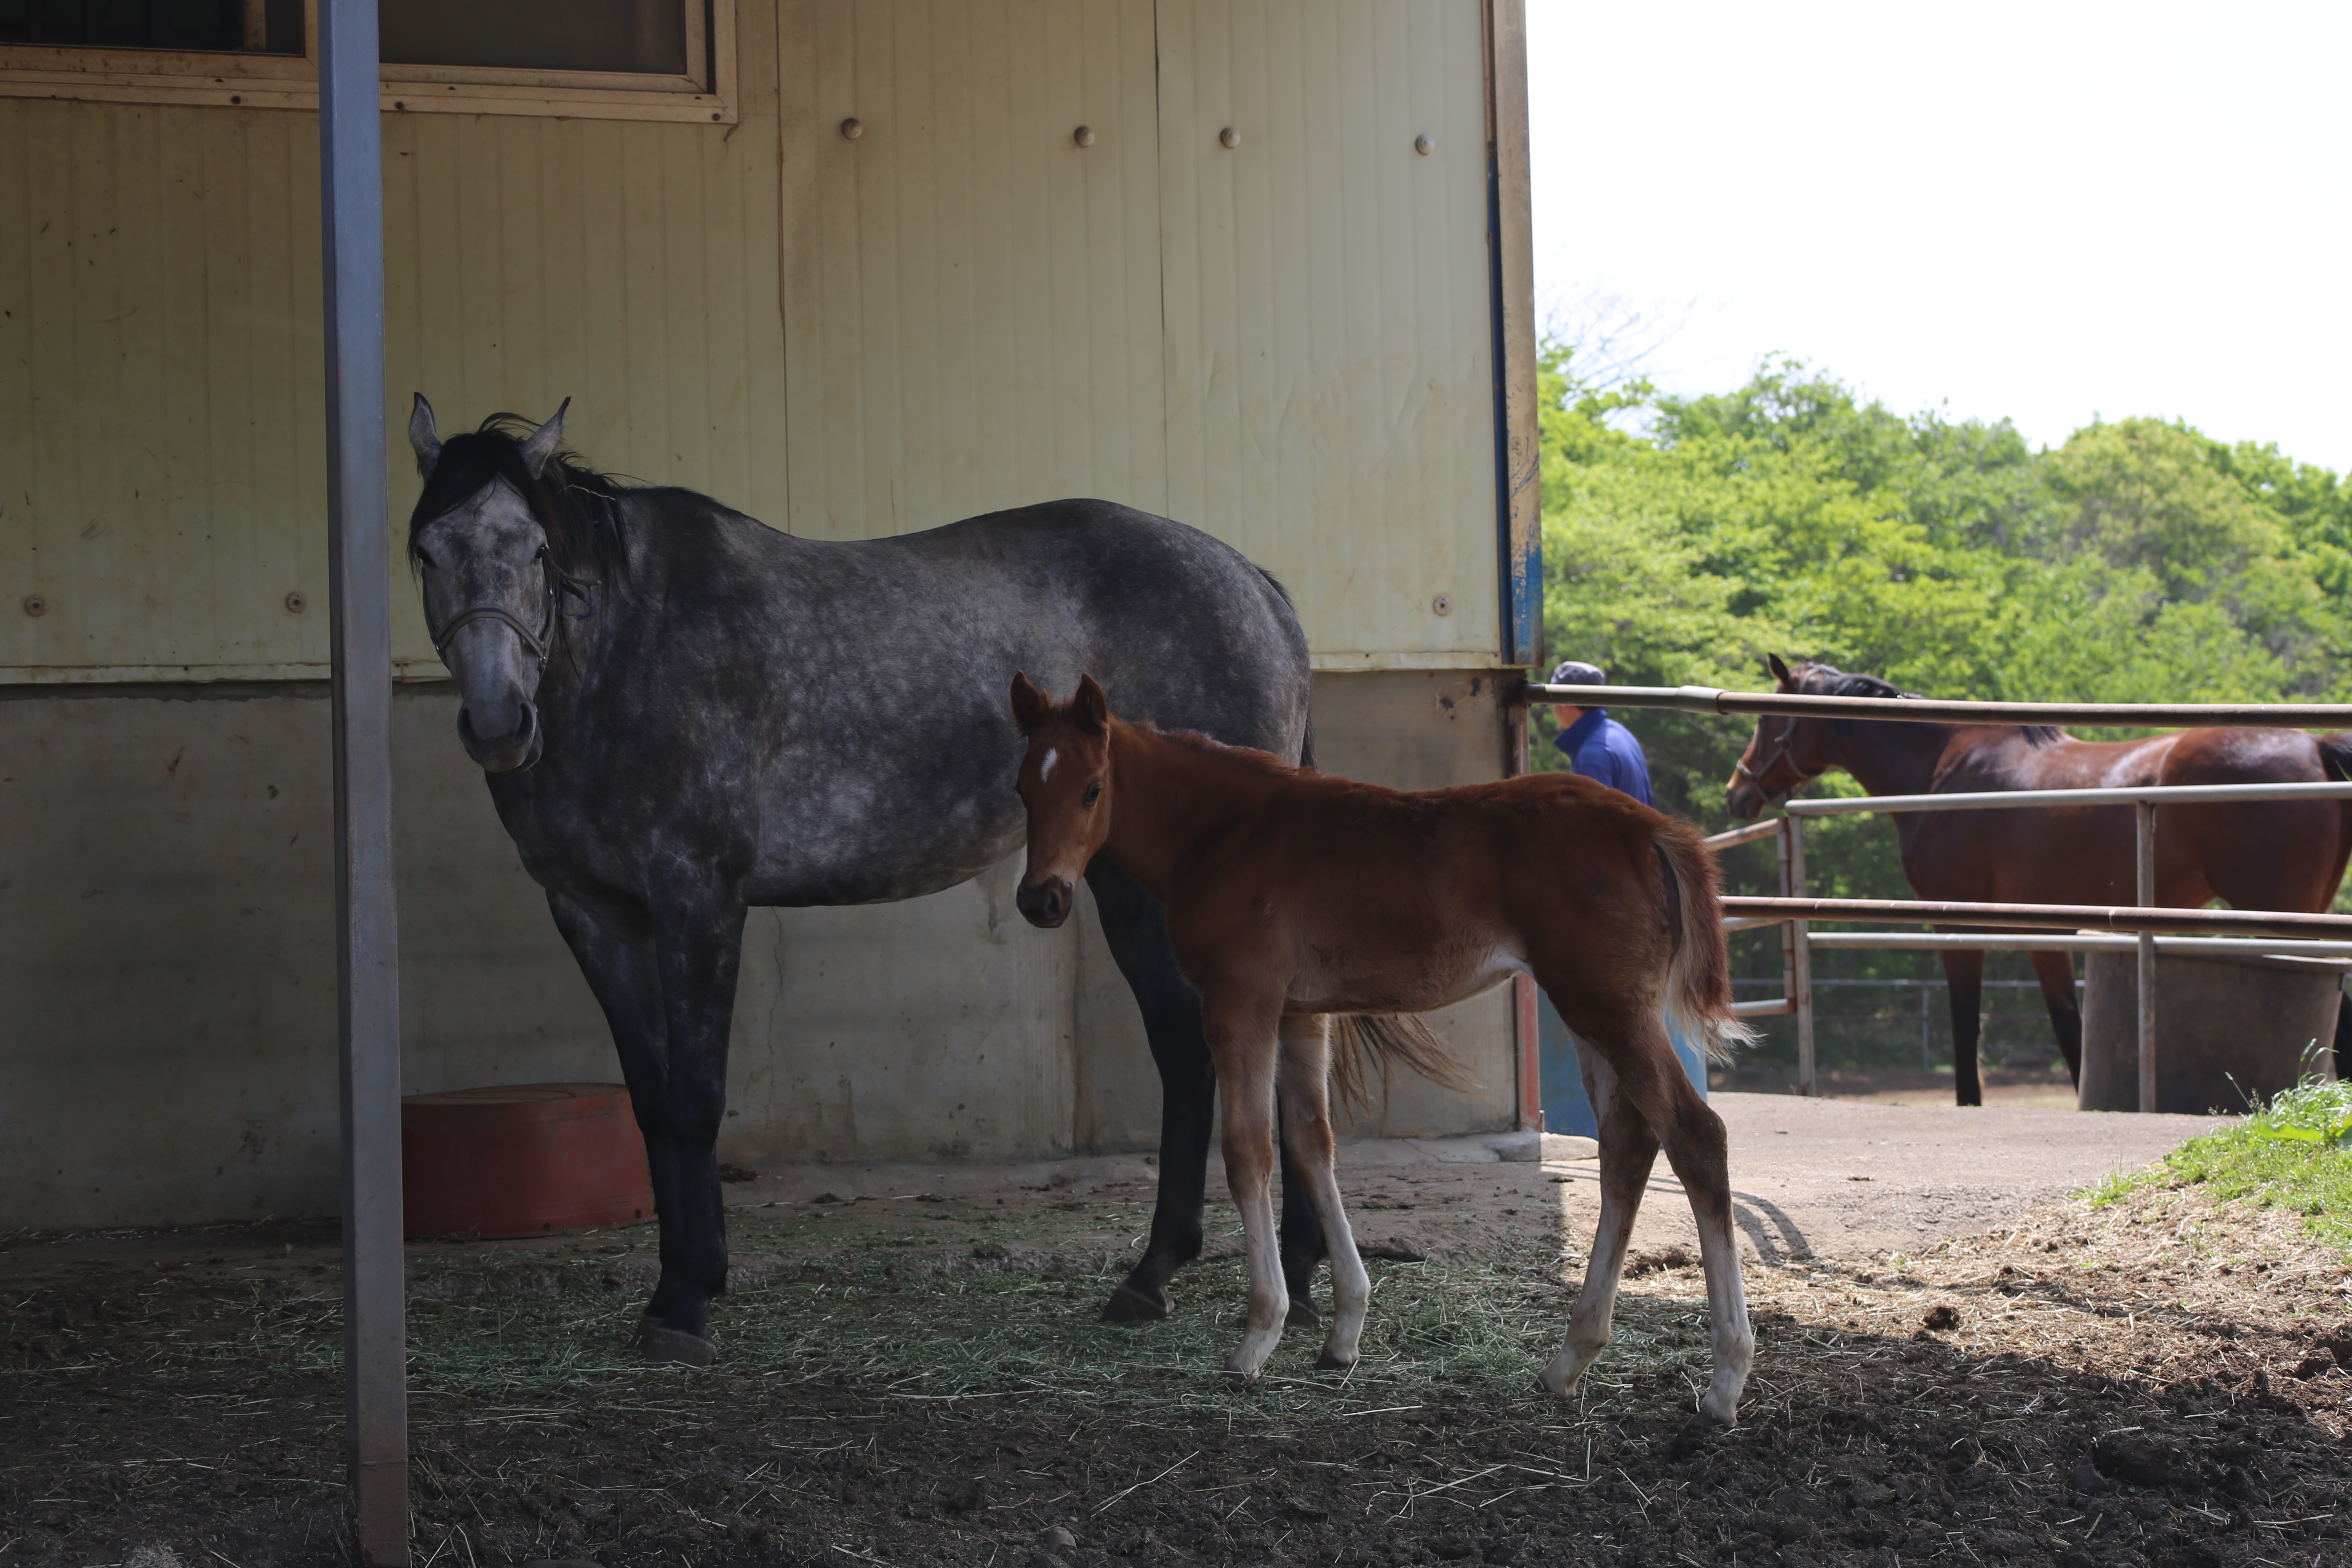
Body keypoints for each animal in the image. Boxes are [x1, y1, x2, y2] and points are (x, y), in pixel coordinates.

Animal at [404, 402, 1326, 1363]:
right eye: (427, 550)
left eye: (535, 550)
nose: (499, 724)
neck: (628, 652)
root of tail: (1257, 588)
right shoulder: (592, 915)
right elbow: (653, 1105)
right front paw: (686, 1280)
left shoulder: (699, 897)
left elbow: (697, 1100)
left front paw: (686, 1304)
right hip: (1128, 882)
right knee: (1193, 1048)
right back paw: (1169, 1275)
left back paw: (1280, 1280)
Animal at [1011, 672, 1768, 1420]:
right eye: (1022, 788)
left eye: (1092, 789)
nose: (1040, 900)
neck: (1223, 833)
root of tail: (1652, 829)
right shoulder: (1301, 1015)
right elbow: (1312, 1144)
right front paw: (1344, 1331)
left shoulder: (1241, 1000)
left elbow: (1249, 1150)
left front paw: (1258, 1338)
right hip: (1595, 1015)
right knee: (1627, 1145)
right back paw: (1569, 1361)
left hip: (1607, 1006)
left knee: (1695, 1134)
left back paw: (1725, 1380)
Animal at [1731, 658, 2352, 1109]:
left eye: (1764, 720)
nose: (1737, 793)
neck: (1943, 769)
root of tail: (2315, 745)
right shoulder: (2047, 932)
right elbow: (2068, 1029)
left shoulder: (1959, 926)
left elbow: (1968, 1027)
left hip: (2284, 918)